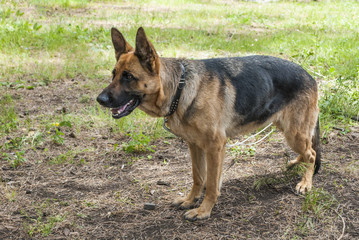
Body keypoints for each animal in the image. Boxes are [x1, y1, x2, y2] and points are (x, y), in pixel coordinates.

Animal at [97, 26, 322, 221]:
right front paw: (190, 200)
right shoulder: (195, 145)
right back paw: (296, 163)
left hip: (294, 133)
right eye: (113, 74)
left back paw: (305, 182)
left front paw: (204, 210)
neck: (180, 88)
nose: (100, 99)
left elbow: (212, 184)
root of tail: (310, 76)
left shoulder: (215, 146)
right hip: (288, 130)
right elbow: (198, 177)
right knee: (308, 151)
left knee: (312, 154)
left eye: (128, 77)